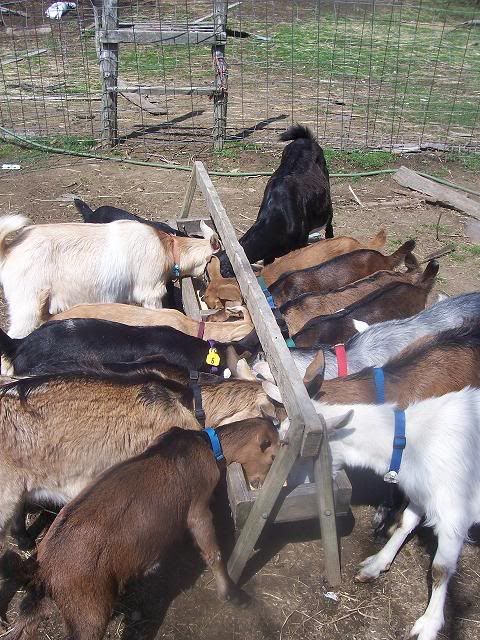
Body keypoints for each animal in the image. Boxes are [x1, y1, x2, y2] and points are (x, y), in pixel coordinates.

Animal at [0, 215, 220, 338]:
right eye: (212, 262)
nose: (204, 292)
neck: (167, 248)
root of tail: (9, 249)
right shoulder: (150, 292)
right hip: (26, 305)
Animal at [3, 419, 279, 640]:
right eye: (273, 456)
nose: (260, 483)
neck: (205, 445)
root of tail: (44, 567)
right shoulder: (198, 508)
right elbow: (214, 553)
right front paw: (233, 595)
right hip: (87, 611)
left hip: (41, 604)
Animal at [291, 388, 480, 640]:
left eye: (303, 453)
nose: (289, 486)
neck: (412, 442)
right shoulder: (419, 493)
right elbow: (404, 523)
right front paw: (377, 563)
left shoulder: (454, 514)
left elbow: (441, 568)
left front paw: (429, 624)